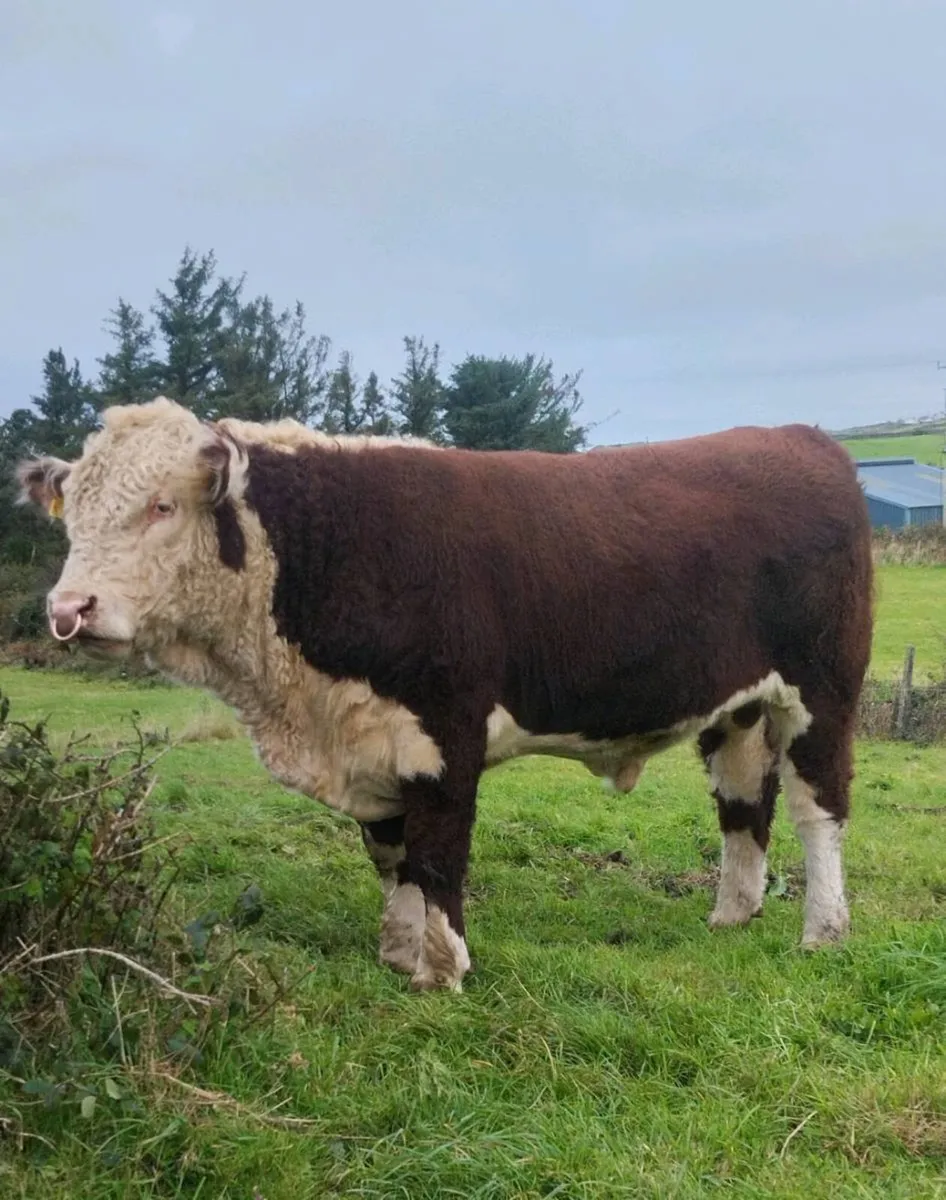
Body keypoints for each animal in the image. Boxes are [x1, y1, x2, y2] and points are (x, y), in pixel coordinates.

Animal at [16, 397, 873, 992]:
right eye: (73, 517)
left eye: (161, 505)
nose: (69, 610)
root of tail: (800, 437)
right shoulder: (372, 732)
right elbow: (391, 853)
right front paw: (399, 955)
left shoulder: (443, 731)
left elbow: (435, 854)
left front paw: (443, 969)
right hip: (737, 706)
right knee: (743, 804)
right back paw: (732, 914)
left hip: (822, 691)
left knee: (818, 809)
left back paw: (825, 930)